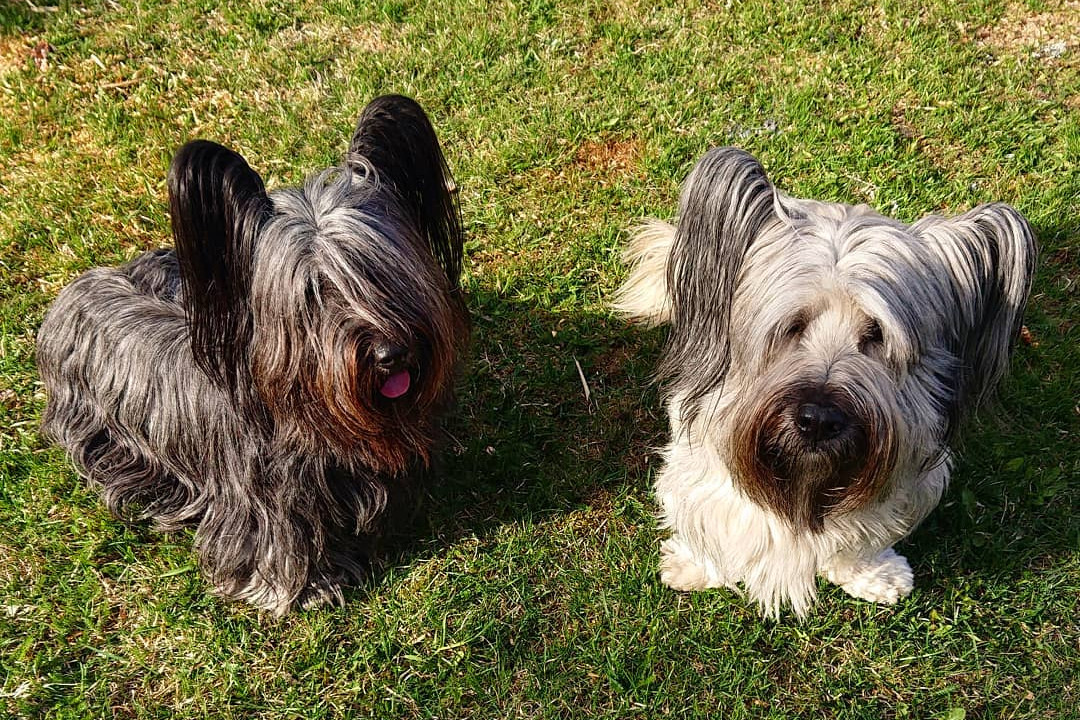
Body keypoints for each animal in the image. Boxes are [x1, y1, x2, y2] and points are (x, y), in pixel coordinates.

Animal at [36, 94, 468, 613]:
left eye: (382, 268)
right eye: (314, 291)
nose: (392, 353)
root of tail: (73, 290)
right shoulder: (264, 504)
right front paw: (310, 588)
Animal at [613, 147, 1032, 621]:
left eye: (876, 334)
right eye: (793, 325)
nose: (818, 420)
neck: (805, 483)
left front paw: (874, 574)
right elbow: (712, 515)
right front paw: (695, 565)